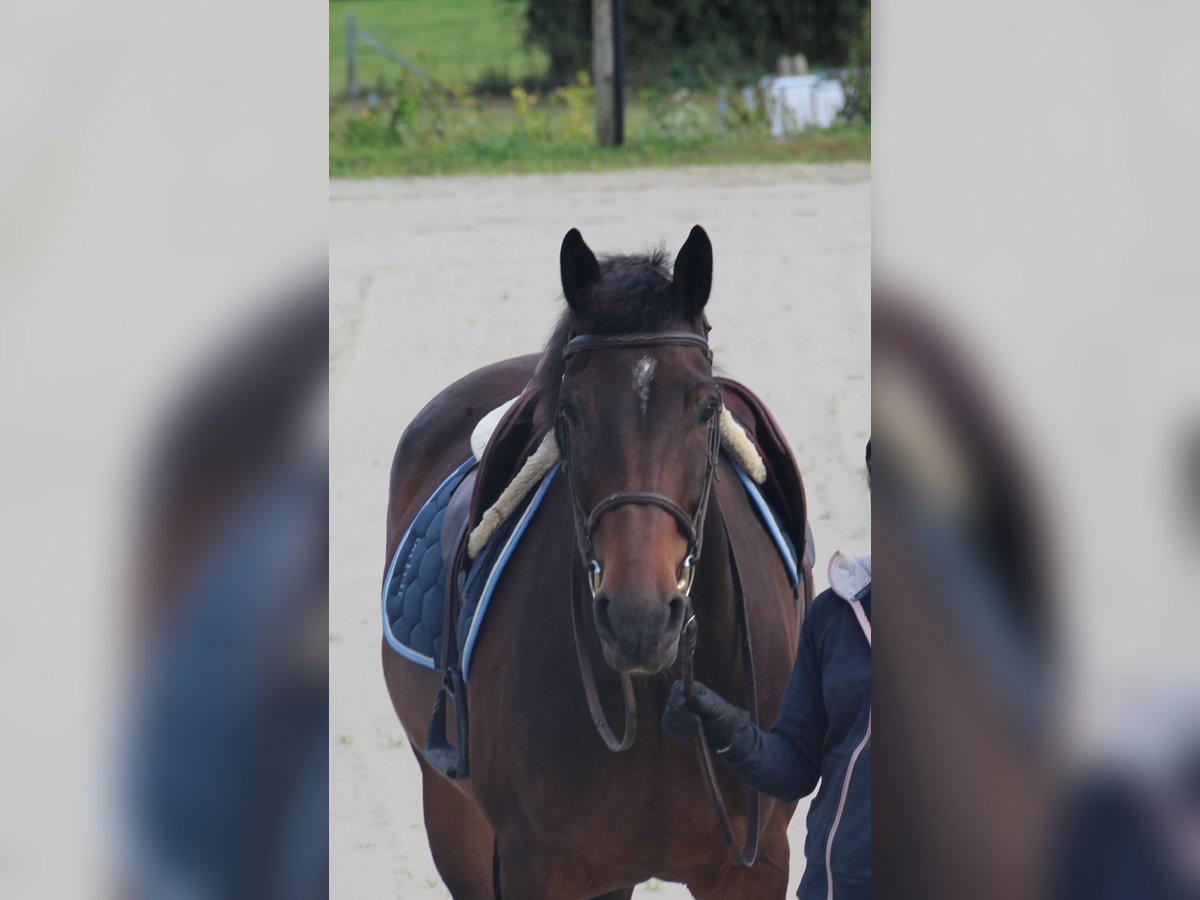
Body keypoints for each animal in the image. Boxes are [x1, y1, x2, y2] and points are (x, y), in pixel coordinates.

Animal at [382, 226, 808, 898]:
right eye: (571, 411)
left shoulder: (756, 863)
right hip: (453, 820)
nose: (639, 620)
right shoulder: (533, 864)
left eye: (706, 407)